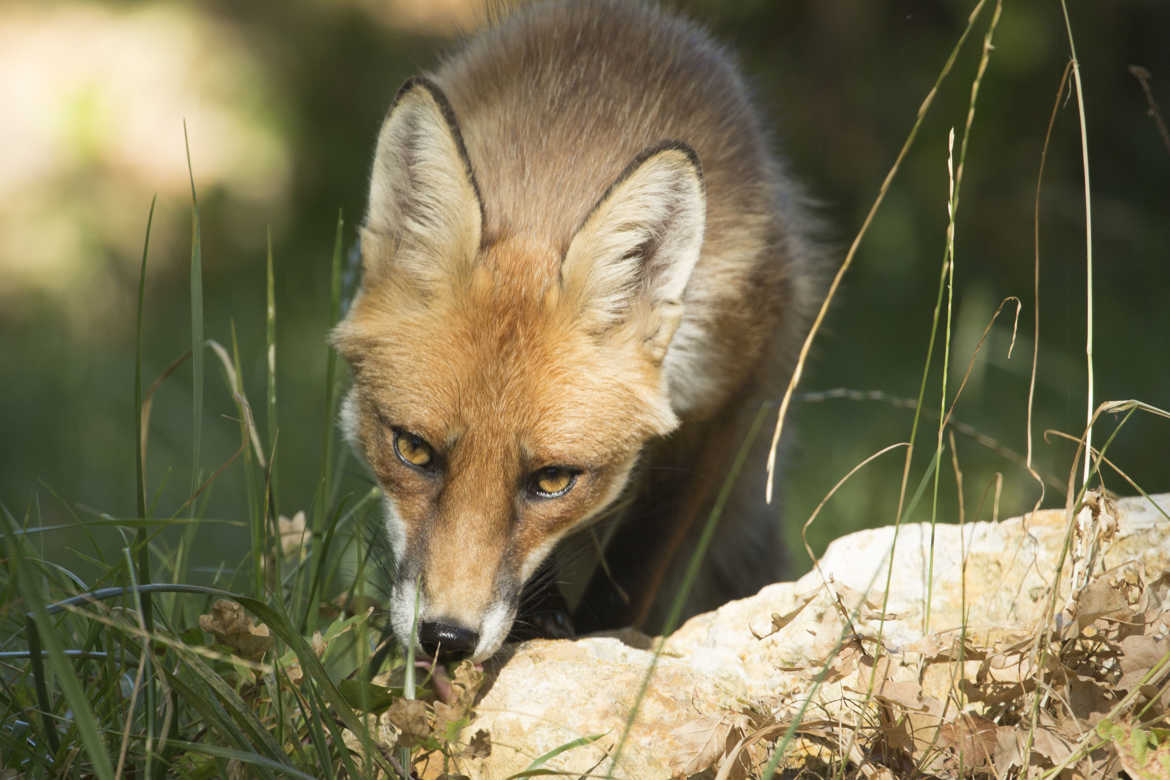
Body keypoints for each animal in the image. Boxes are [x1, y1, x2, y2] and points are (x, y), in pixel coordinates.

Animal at [329, 0, 823, 664]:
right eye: (413, 449)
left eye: (553, 481)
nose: (446, 640)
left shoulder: (729, 403)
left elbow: (637, 569)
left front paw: (602, 639)